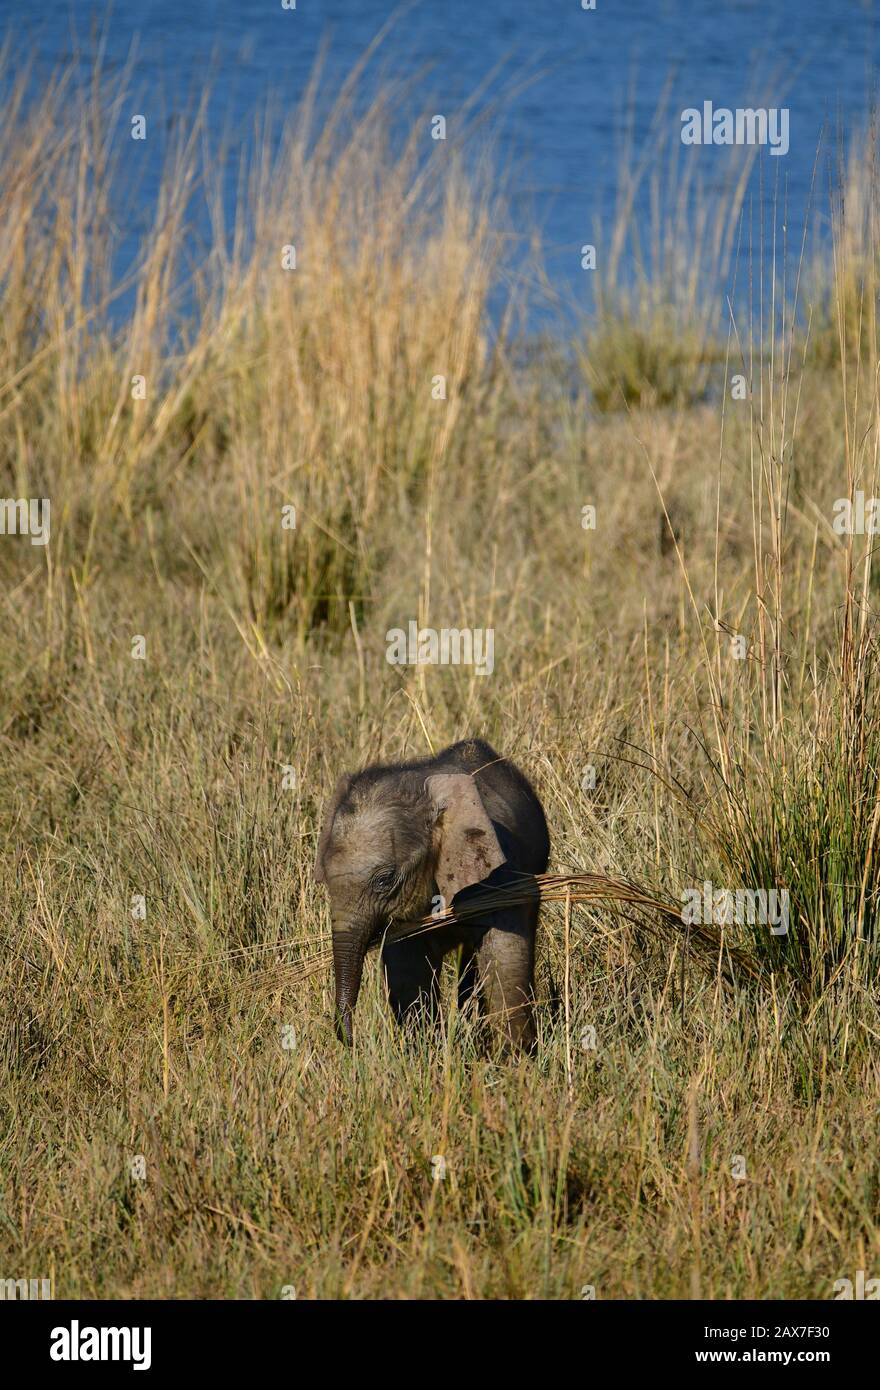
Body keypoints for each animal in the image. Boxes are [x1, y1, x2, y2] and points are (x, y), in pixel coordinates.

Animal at [315, 745, 550, 1045]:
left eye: (384, 880)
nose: (351, 1041)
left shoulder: (500, 869)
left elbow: (504, 955)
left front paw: (513, 1055)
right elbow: (410, 970)